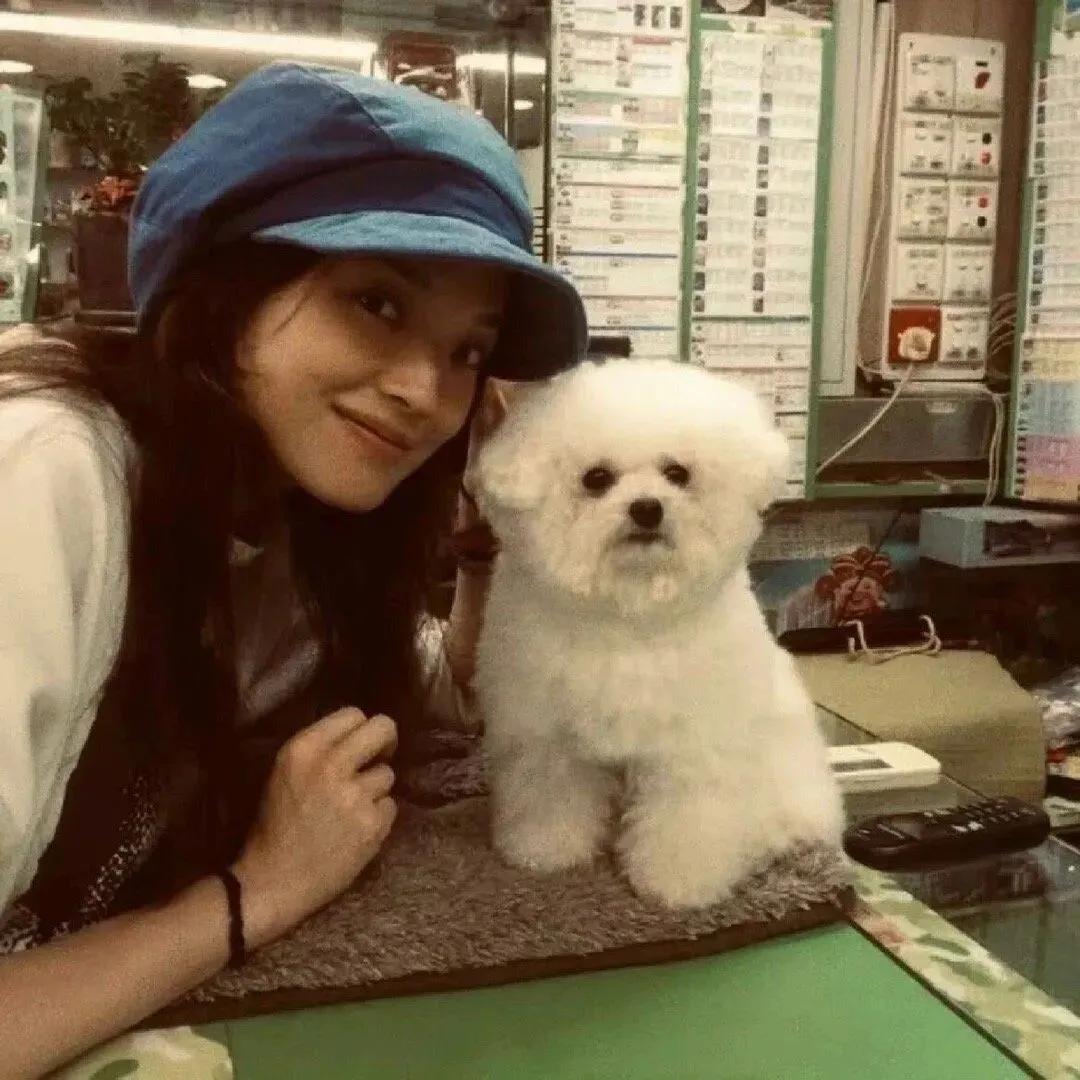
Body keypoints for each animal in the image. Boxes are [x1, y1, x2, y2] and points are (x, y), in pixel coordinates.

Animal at [469, 359, 844, 908]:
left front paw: (679, 882)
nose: (647, 508)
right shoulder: (548, 738)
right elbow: (551, 793)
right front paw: (546, 849)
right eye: (597, 478)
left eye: (677, 474)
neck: (631, 613)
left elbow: (685, 818)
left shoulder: (694, 747)